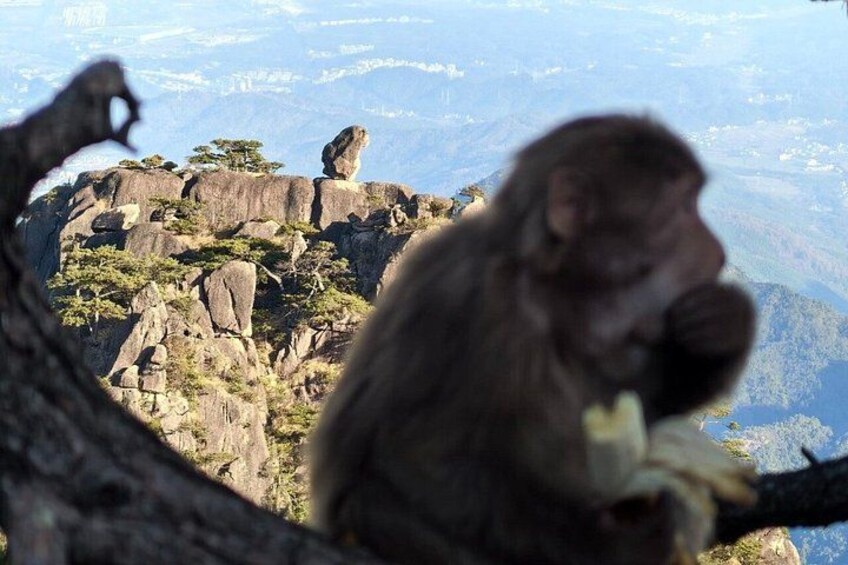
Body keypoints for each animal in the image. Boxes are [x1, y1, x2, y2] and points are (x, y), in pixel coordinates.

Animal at [309, 115, 756, 564]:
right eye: (682, 207)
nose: (716, 251)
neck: (553, 287)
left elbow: (645, 400)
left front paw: (722, 325)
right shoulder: (479, 302)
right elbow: (413, 461)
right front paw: (616, 541)